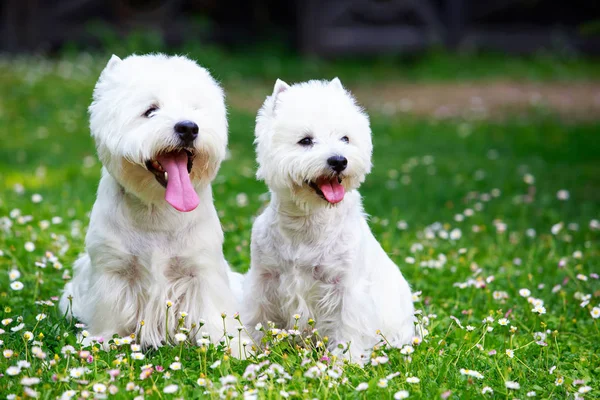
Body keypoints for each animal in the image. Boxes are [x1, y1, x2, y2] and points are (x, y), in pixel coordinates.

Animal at [60, 52, 246, 354]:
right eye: (150, 111)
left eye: (195, 109)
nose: (188, 127)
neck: (157, 210)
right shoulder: (112, 269)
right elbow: (109, 313)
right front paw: (102, 339)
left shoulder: (202, 270)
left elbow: (214, 315)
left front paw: (234, 347)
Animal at [244, 78, 418, 362]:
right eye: (305, 140)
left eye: (345, 138)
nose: (339, 160)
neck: (308, 221)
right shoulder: (263, 278)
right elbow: (255, 316)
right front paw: (247, 348)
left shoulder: (347, 287)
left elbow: (347, 325)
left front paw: (345, 361)